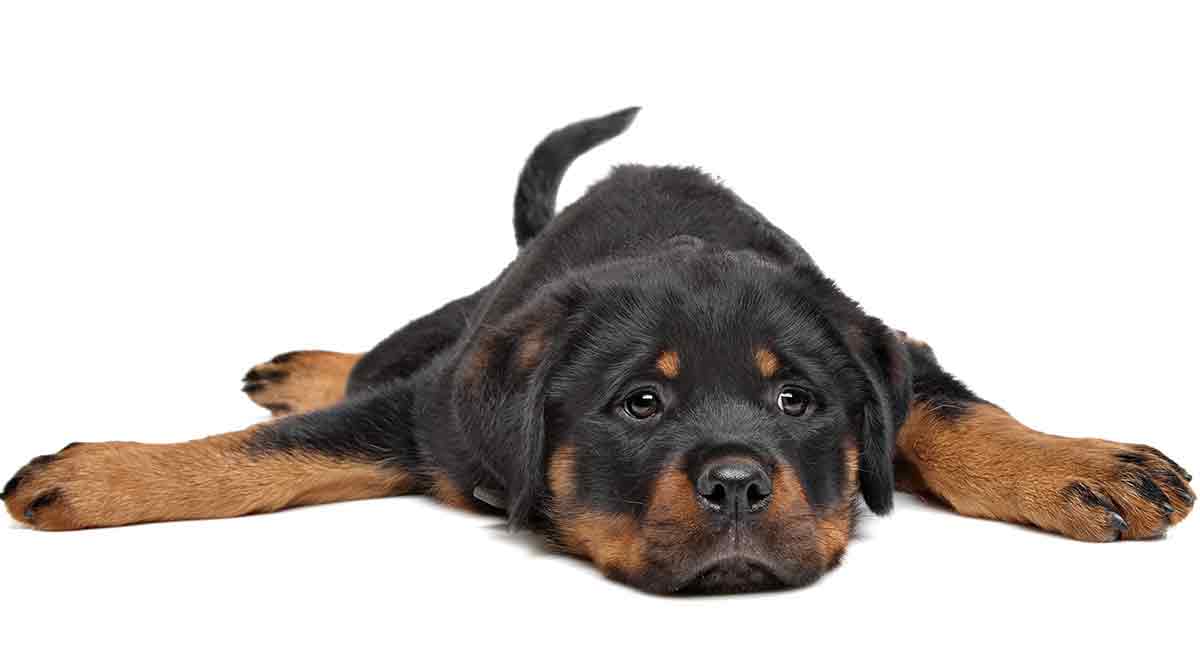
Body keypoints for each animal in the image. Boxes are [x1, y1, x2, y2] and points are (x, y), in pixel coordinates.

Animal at [4, 108, 1195, 597]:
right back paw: (298, 367)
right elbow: (259, 454)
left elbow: (952, 411)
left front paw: (1081, 465)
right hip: (445, 343)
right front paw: (95, 474)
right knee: (386, 355)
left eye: (799, 401)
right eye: (639, 405)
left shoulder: (885, 342)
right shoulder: (432, 412)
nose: (737, 483)